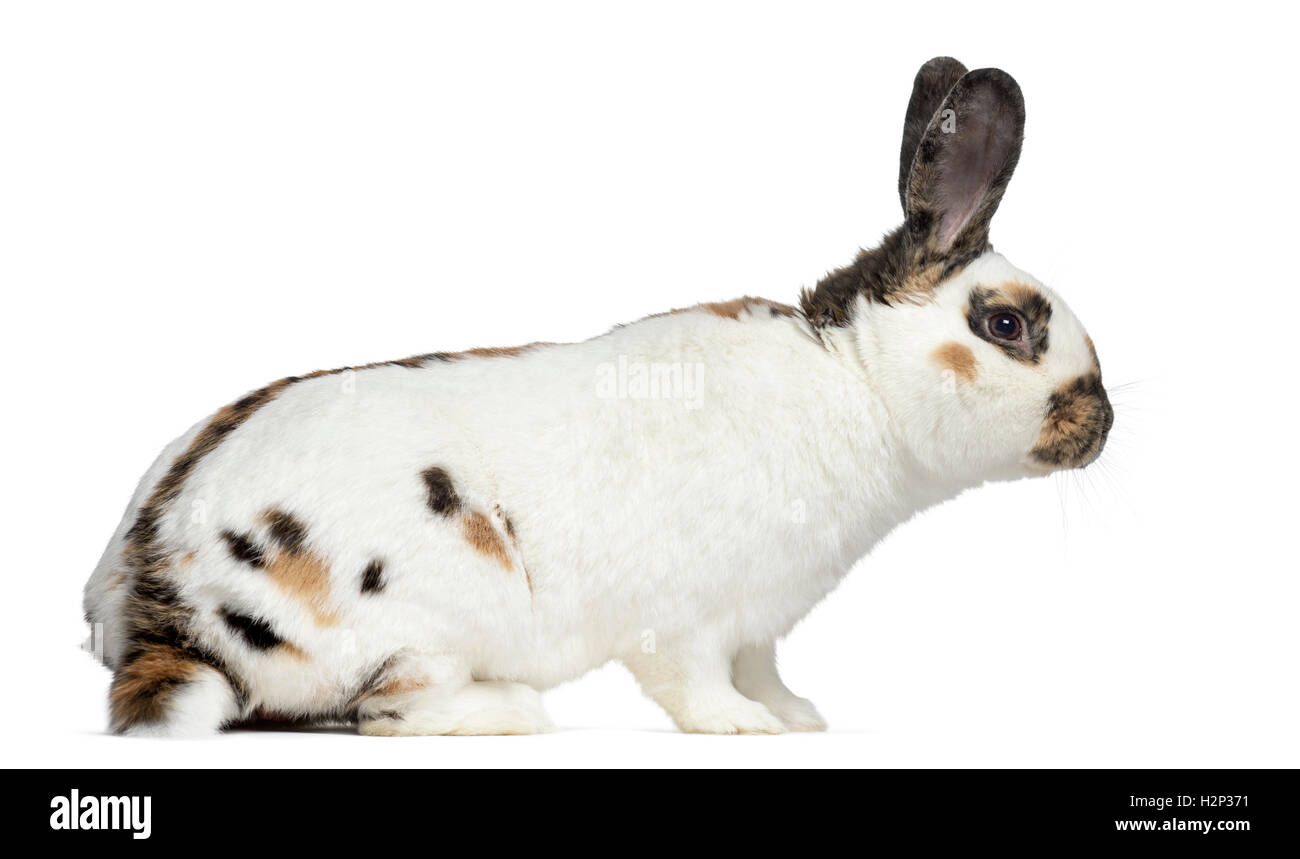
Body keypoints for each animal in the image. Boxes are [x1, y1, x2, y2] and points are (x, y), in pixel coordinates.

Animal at [84, 57, 1112, 737]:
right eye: (1007, 325)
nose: (1101, 422)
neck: (852, 378)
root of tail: (169, 610)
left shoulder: (760, 620)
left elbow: (765, 668)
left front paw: (798, 716)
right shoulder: (689, 618)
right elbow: (694, 681)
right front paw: (745, 729)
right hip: (431, 616)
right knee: (388, 707)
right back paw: (515, 710)